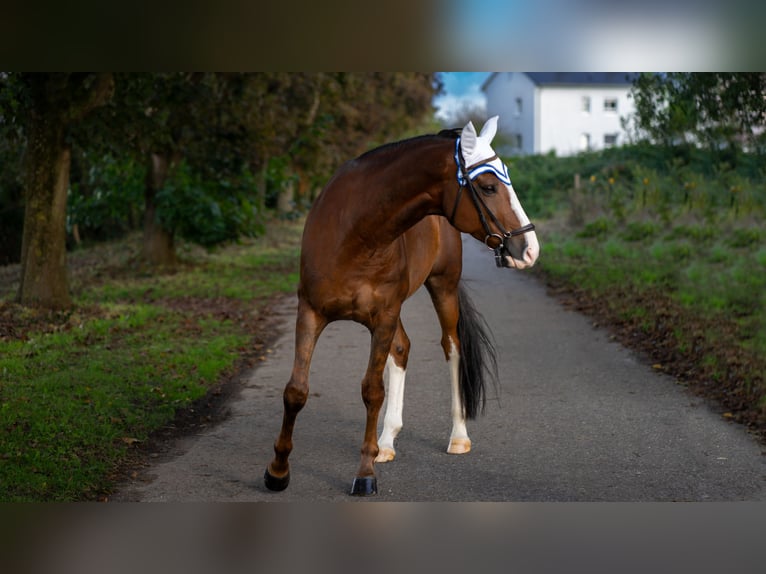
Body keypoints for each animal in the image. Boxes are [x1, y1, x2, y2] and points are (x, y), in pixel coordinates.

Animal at [264, 116, 540, 496]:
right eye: (487, 187)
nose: (529, 249)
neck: (357, 233)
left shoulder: (383, 317)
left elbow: (372, 391)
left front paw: (364, 475)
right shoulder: (310, 312)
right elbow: (296, 391)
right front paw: (277, 471)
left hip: (442, 287)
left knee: (452, 349)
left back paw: (457, 436)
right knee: (402, 348)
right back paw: (386, 440)